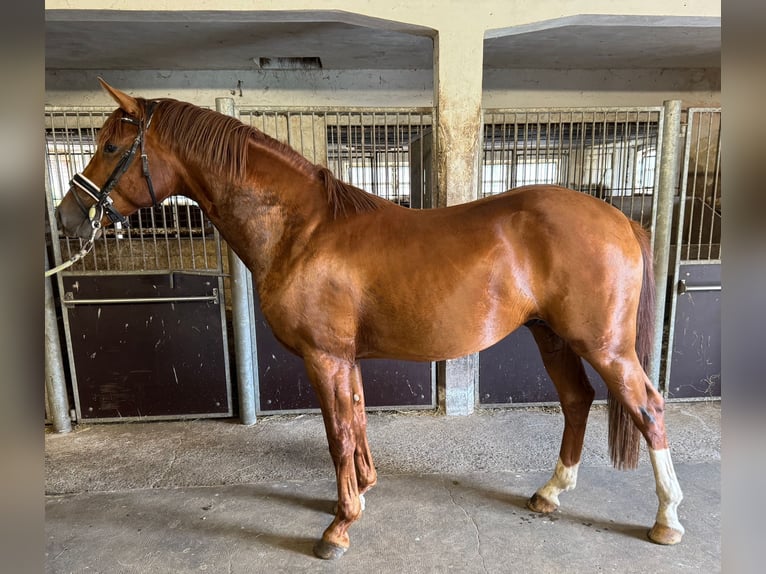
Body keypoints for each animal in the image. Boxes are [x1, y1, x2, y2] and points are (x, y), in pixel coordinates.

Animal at [54, 79, 684, 559]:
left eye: (110, 146)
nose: (67, 218)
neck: (302, 230)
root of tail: (619, 219)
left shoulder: (324, 357)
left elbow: (337, 435)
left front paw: (339, 524)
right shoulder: (344, 359)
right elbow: (355, 423)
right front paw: (363, 490)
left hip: (603, 345)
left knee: (648, 409)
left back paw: (667, 519)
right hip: (553, 337)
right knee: (577, 402)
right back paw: (551, 493)